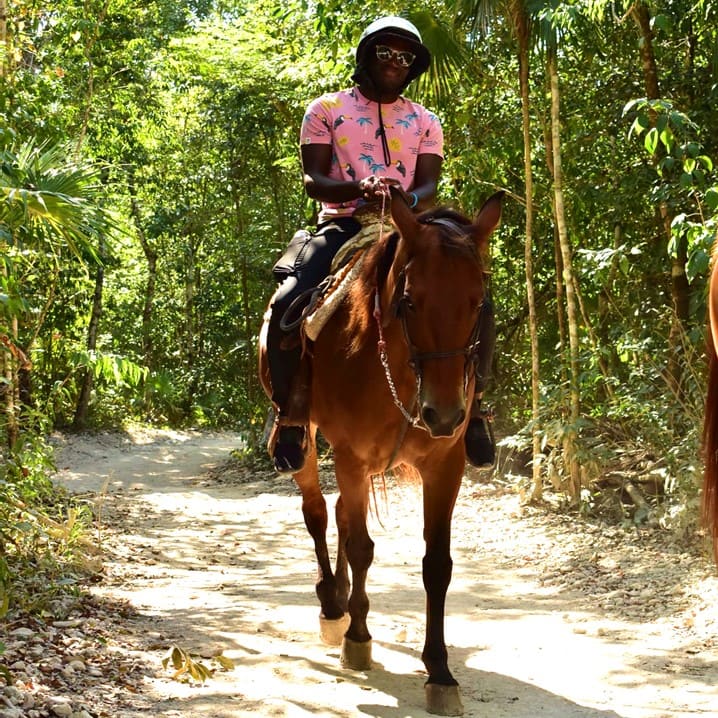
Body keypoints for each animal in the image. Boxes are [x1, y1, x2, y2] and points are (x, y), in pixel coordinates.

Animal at [258, 188, 504, 716]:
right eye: (410, 301)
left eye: (478, 303)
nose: (444, 415)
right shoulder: (351, 455)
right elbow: (361, 547)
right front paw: (358, 637)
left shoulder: (444, 467)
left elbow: (436, 565)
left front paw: (440, 671)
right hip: (308, 439)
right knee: (317, 512)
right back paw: (334, 607)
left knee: (341, 515)